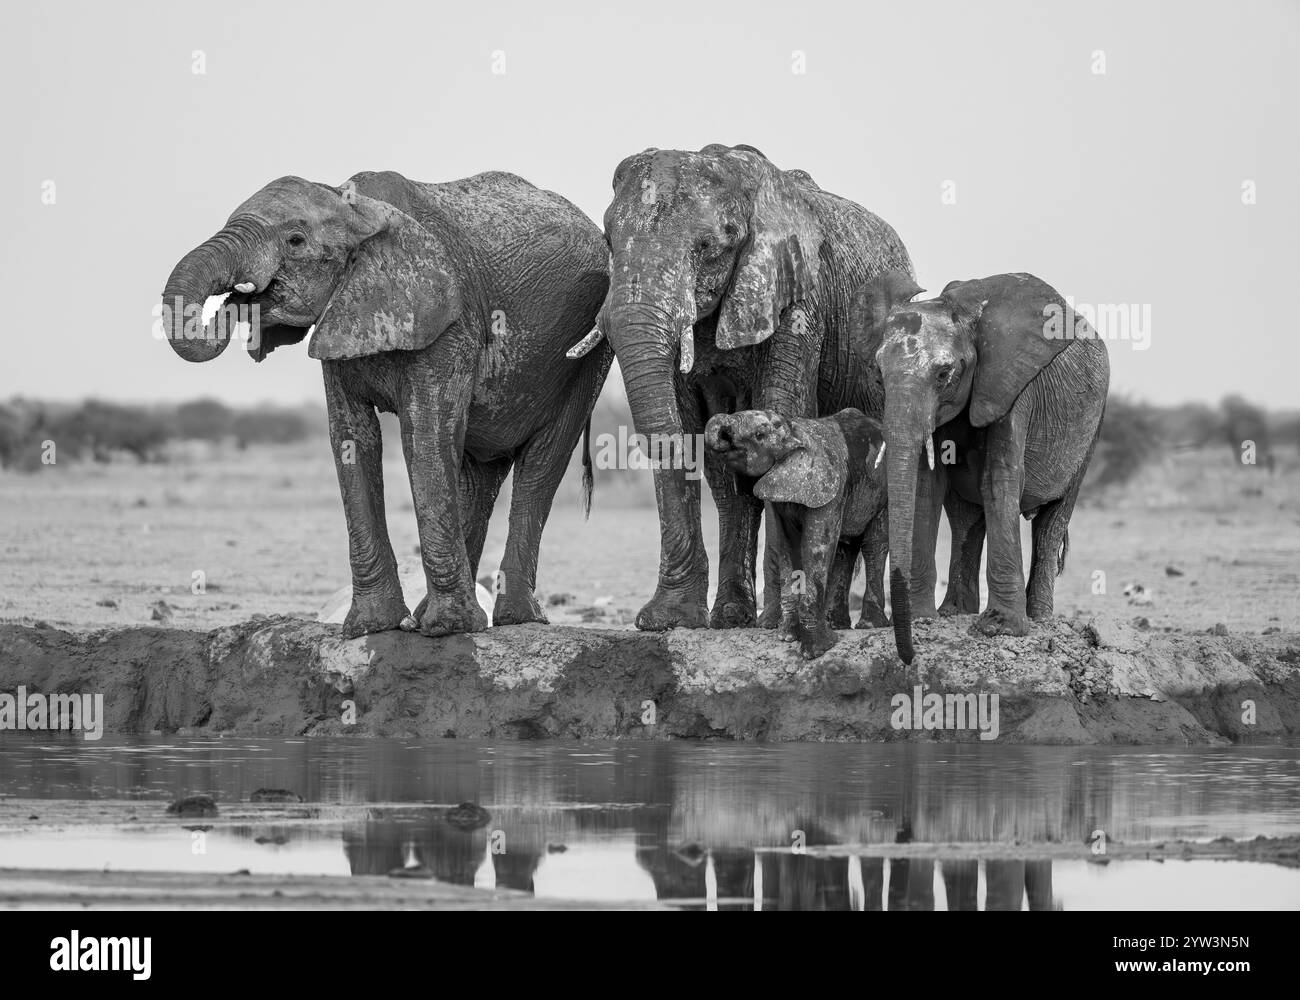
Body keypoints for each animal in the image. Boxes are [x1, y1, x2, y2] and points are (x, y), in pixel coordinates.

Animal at [158, 169, 613, 639]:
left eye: (295, 241)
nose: (235, 302)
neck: (359, 211)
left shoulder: (449, 323)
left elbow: (424, 436)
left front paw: (447, 629)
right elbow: (354, 441)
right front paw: (372, 628)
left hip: (589, 352)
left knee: (542, 461)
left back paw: (513, 619)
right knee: (478, 476)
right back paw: (442, 615)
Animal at [707, 405, 889, 655]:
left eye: (759, 435)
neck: (792, 429)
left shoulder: (829, 486)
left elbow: (816, 545)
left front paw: (818, 649)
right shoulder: (780, 491)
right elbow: (786, 546)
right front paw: (787, 637)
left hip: (884, 491)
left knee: (873, 545)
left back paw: (869, 625)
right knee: (845, 549)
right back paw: (836, 624)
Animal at [847, 273, 1112, 663]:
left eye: (944, 374)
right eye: (879, 377)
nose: (909, 657)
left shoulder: (1010, 387)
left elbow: (999, 480)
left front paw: (1000, 629)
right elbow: (927, 486)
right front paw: (923, 619)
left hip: (1093, 427)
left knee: (1053, 520)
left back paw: (1040, 618)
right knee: (966, 521)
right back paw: (954, 612)